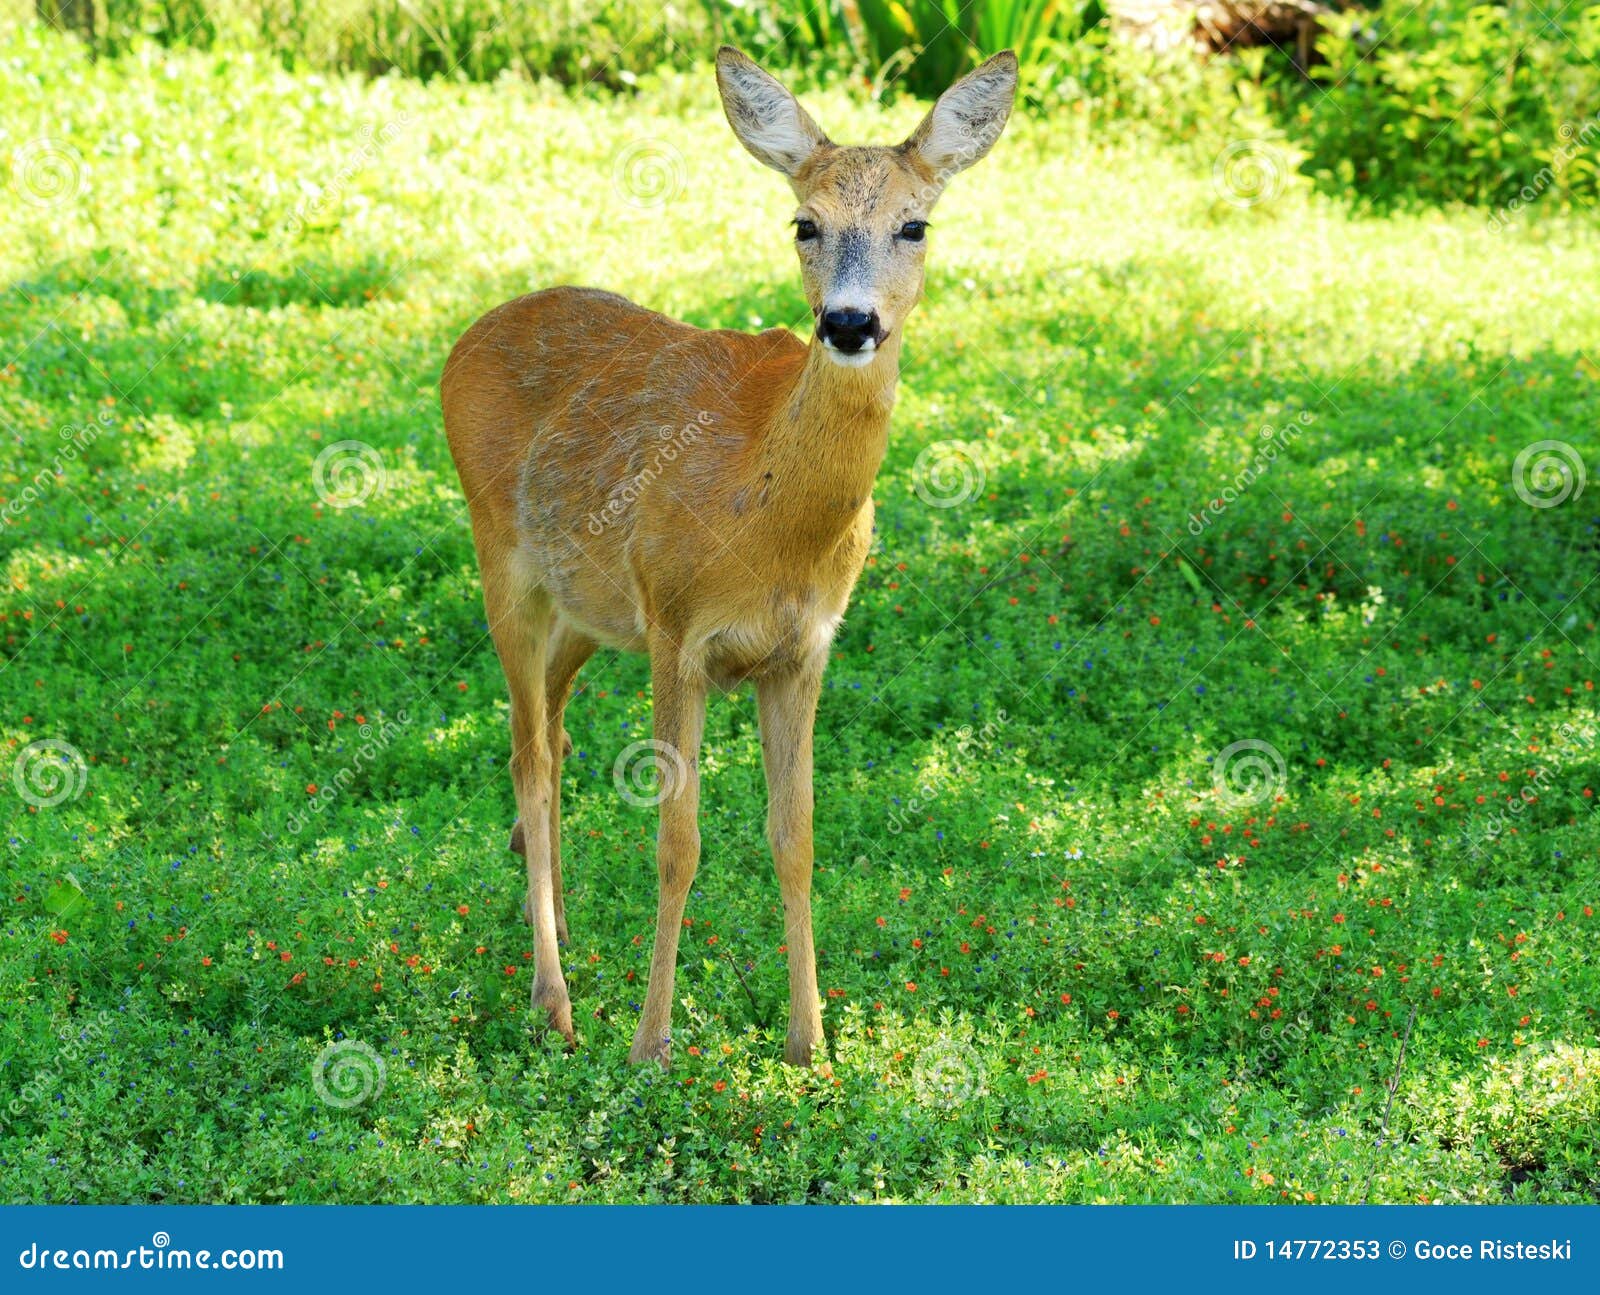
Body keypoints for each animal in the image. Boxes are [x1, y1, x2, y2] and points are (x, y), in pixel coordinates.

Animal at [438, 45, 1011, 1062]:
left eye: (915, 224)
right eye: (804, 223)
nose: (850, 323)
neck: (770, 517)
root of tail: (464, 340)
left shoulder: (805, 648)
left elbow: (797, 837)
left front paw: (810, 1042)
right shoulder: (678, 629)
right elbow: (681, 841)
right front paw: (651, 1044)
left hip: (591, 607)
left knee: (550, 729)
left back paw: (552, 913)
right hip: (501, 556)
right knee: (529, 753)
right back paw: (554, 998)